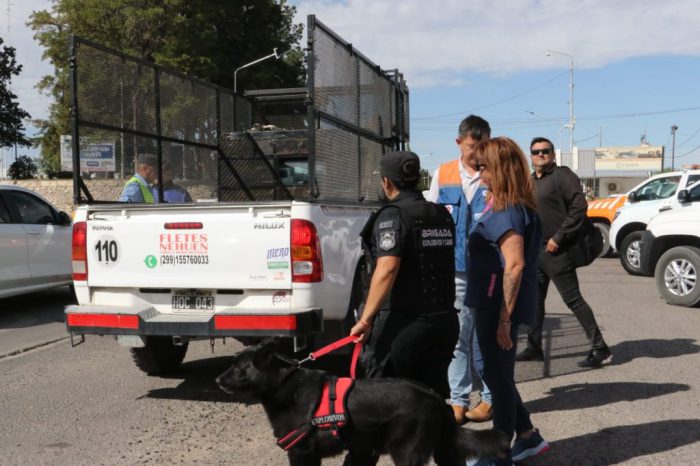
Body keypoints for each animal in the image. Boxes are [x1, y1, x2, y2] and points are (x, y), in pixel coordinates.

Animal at [216, 338, 506, 466]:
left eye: (237, 368)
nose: (217, 380)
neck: (283, 384)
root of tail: (433, 396)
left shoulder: (300, 454)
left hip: (407, 454)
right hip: (444, 452)